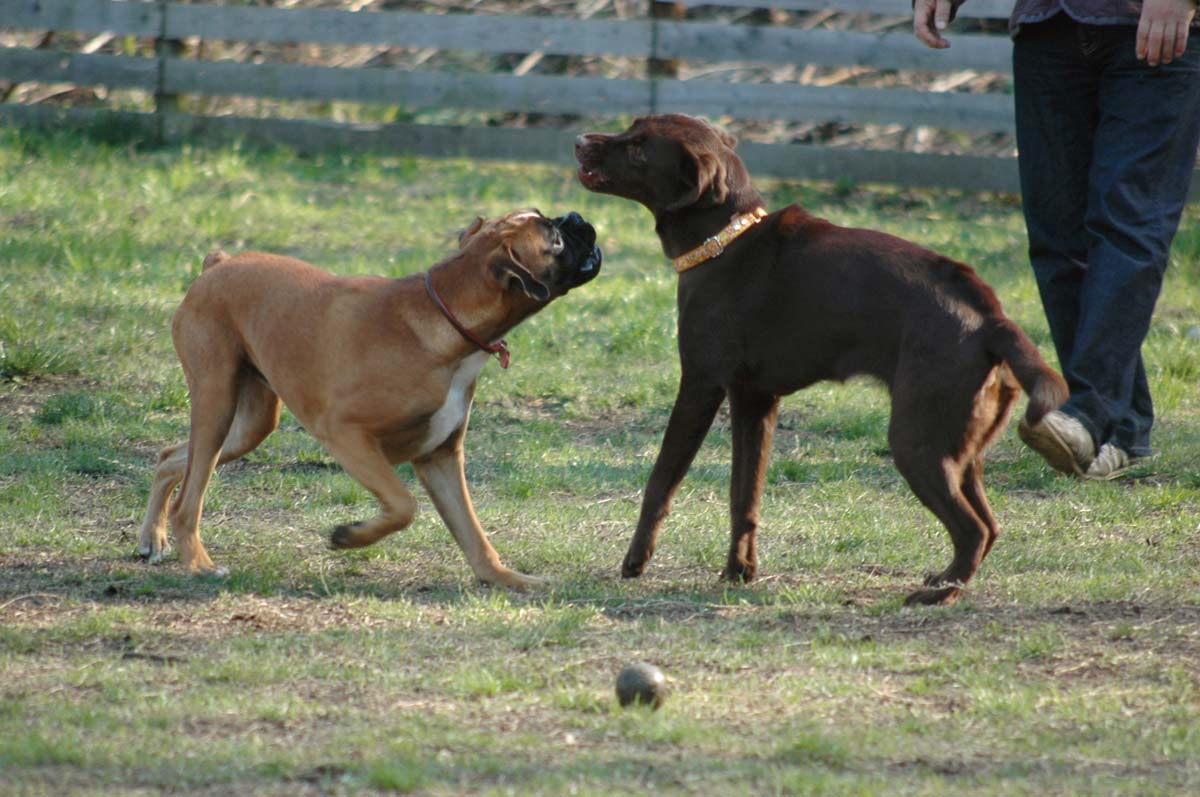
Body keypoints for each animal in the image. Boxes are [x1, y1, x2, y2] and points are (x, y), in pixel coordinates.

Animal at [139, 208, 600, 588]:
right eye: (554, 239)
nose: (576, 217)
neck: (446, 316)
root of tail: (218, 263)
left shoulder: (441, 458)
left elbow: (474, 536)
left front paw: (506, 579)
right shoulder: (347, 435)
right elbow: (403, 506)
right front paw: (350, 536)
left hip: (248, 425)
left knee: (170, 458)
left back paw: (152, 540)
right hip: (216, 402)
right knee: (188, 500)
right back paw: (199, 564)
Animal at [576, 113, 1065, 604]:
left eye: (639, 147)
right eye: (630, 128)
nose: (579, 140)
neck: (725, 241)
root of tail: (990, 320)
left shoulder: (700, 385)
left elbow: (660, 482)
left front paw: (635, 561)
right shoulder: (755, 401)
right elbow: (743, 496)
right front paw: (739, 571)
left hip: (917, 441)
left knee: (972, 530)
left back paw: (937, 594)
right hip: (961, 448)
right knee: (990, 525)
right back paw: (943, 582)